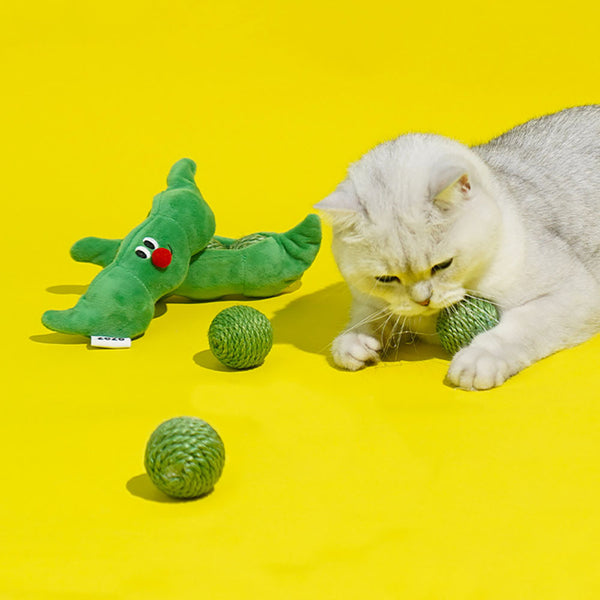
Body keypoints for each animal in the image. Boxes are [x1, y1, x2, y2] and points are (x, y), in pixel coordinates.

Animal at [316, 106, 596, 392]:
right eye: (386, 279)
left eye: (443, 265)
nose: (423, 300)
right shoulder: (370, 299)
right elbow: (369, 314)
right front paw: (355, 340)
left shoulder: (575, 292)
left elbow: (521, 325)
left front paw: (479, 359)